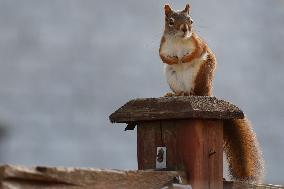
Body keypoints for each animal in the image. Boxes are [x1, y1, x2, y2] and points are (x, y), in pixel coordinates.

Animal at [160, 3, 264, 183]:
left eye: (191, 20)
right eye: (171, 21)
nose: (185, 29)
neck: (179, 41)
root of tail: (208, 92)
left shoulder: (198, 43)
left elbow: (197, 51)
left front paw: (184, 59)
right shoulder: (163, 46)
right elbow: (163, 57)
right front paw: (175, 60)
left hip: (200, 73)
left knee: (197, 91)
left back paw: (190, 94)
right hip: (171, 76)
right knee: (179, 89)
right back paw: (175, 94)